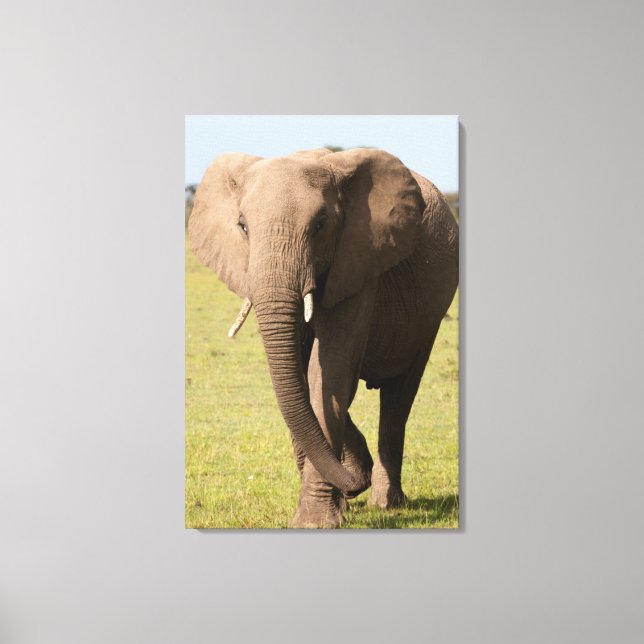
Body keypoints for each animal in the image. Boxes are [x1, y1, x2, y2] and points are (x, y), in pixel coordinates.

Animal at [188, 147, 458, 528]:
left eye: (320, 225)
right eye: (242, 226)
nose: (353, 485)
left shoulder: (360, 259)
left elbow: (328, 373)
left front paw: (315, 521)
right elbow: (302, 380)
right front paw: (341, 498)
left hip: (430, 315)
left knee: (399, 395)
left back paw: (386, 502)